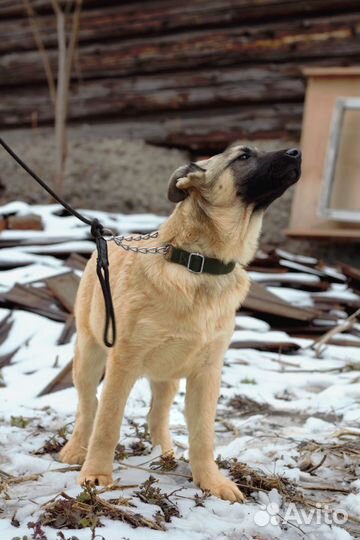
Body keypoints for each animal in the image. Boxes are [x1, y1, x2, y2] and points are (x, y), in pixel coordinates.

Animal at [59, 142, 300, 502]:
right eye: (243, 156)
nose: (296, 152)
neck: (198, 264)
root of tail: (109, 239)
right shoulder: (123, 363)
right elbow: (108, 423)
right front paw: (97, 476)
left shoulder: (207, 371)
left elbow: (203, 433)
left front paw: (211, 481)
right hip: (89, 353)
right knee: (89, 406)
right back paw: (76, 450)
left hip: (168, 374)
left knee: (156, 415)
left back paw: (164, 455)